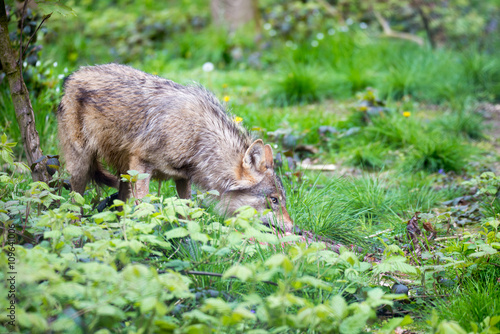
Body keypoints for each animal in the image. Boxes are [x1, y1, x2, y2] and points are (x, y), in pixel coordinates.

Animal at [57, 62, 298, 235]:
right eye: (274, 200)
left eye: (282, 200)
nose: (293, 228)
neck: (197, 137)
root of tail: (72, 75)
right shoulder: (142, 165)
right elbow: (144, 205)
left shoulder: (183, 178)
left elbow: (187, 213)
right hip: (82, 167)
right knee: (74, 203)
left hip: (124, 176)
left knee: (120, 205)